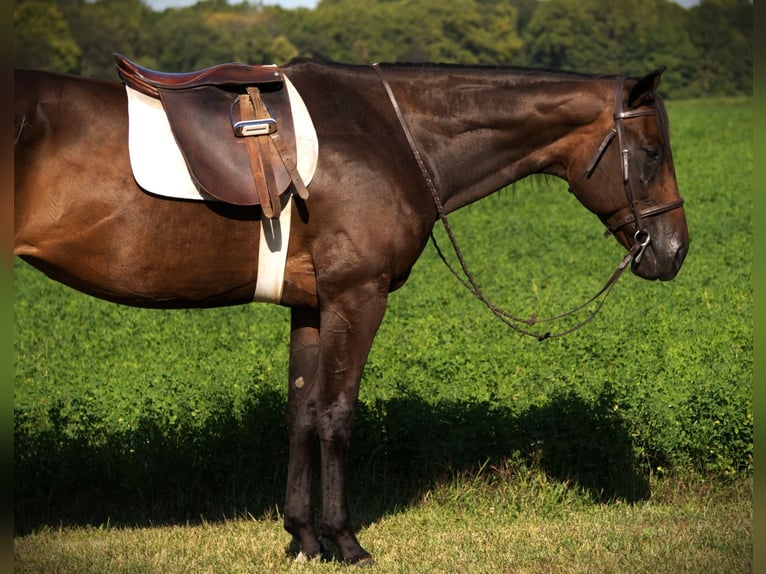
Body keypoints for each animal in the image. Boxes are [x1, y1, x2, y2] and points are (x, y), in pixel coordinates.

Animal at [13, 58, 688, 565]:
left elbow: (302, 414)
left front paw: (303, 537)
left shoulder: (312, 306)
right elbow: (337, 415)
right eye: (652, 151)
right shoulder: (357, 297)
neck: (390, 134)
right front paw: (345, 540)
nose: (675, 251)